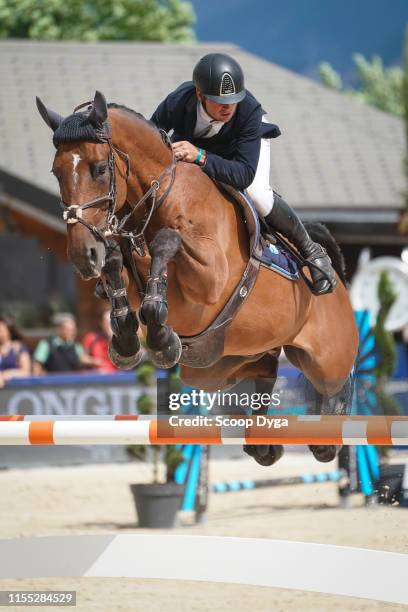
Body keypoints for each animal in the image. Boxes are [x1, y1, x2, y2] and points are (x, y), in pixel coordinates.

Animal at [36, 91, 358, 464]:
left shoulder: (210, 277)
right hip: (217, 365)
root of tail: (341, 288)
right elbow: (117, 262)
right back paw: (263, 442)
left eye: (99, 168)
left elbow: (167, 241)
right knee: (262, 372)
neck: (162, 196)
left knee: (336, 381)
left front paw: (159, 333)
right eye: (56, 171)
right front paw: (131, 340)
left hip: (325, 357)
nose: (82, 255)